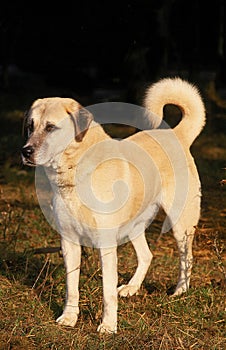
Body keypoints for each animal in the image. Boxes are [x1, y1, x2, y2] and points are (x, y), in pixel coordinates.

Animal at [22, 78, 206, 332]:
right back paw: (131, 288)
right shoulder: (69, 242)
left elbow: (107, 291)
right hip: (134, 226)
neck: (75, 170)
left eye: (50, 127)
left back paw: (180, 291)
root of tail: (176, 135)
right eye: (30, 126)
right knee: (147, 255)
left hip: (181, 225)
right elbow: (72, 287)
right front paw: (69, 318)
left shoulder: (106, 244)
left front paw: (108, 326)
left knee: (186, 259)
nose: (25, 152)